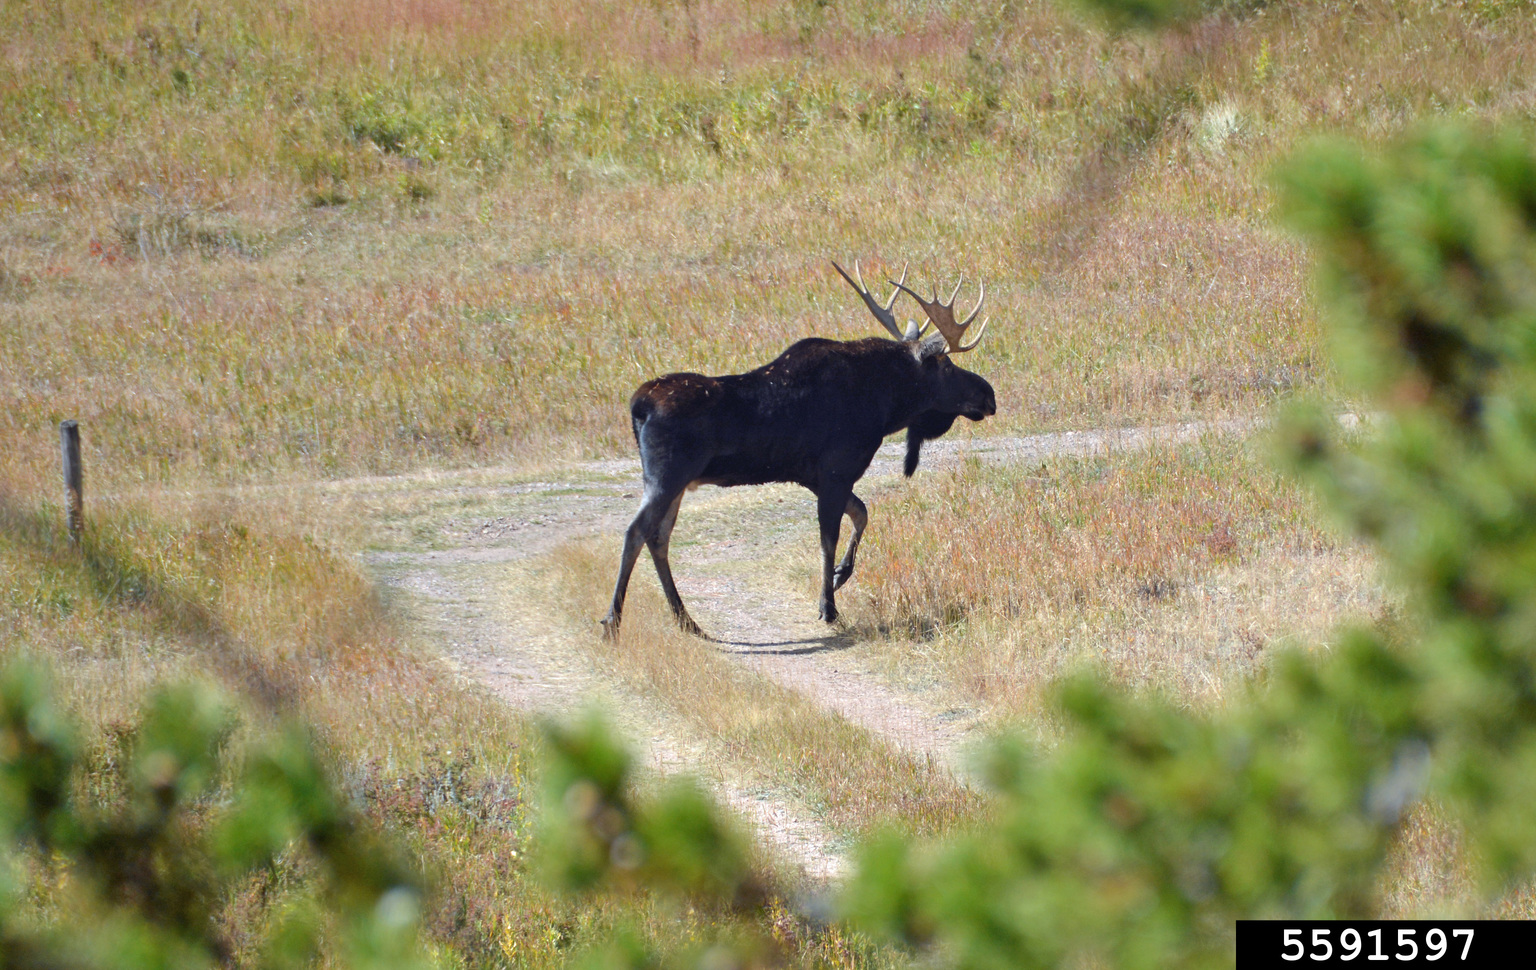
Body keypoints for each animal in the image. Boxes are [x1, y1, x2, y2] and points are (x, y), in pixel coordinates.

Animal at [600, 260, 996, 639]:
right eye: (947, 365)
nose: (988, 395)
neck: (885, 406)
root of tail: (638, 405)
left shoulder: (815, 477)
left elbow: (861, 514)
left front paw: (840, 575)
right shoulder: (837, 470)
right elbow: (829, 537)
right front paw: (828, 607)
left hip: (677, 482)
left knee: (659, 538)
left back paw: (686, 621)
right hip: (667, 475)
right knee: (636, 532)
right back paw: (613, 621)